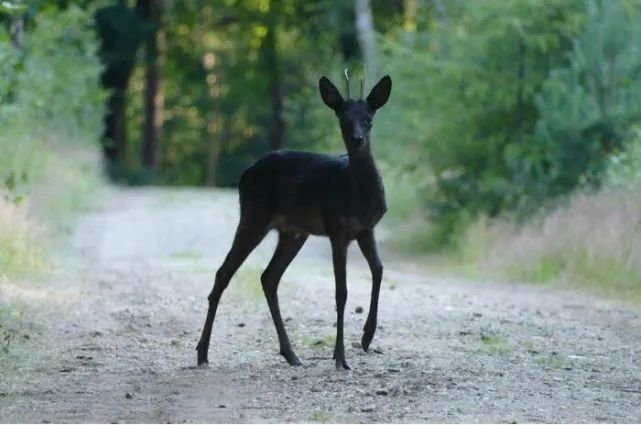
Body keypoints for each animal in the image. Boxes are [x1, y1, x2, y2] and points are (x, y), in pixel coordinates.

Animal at [196, 72, 392, 370]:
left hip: (293, 231)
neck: (356, 194)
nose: (358, 139)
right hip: (254, 214)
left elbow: (379, 270)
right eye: (342, 119)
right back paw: (202, 353)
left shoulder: (366, 228)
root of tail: (245, 173)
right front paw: (340, 358)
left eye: (369, 118)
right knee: (224, 273)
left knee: (268, 277)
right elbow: (341, 291)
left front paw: (367, 337)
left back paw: (290, 354)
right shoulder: (336, 227)